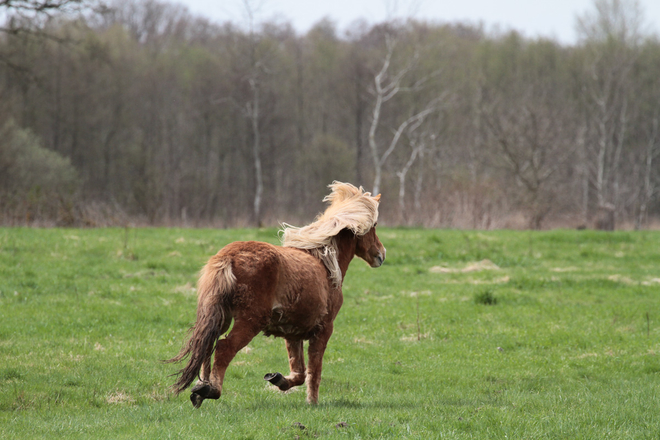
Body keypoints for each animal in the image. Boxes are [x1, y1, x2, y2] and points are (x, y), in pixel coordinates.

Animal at [166, 180, 386, 408]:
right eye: (374, 225)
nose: (381, 255)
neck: (325, 263)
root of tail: (228, 257)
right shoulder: (324, 329)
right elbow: (314, 371)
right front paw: (312, 402)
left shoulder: (293, 333)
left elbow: (299, 373)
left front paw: (277, 379)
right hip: (250, 321)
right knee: (224, 348)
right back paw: (212, 390)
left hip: (220, 317)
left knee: (208, 345)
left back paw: (201, 389)